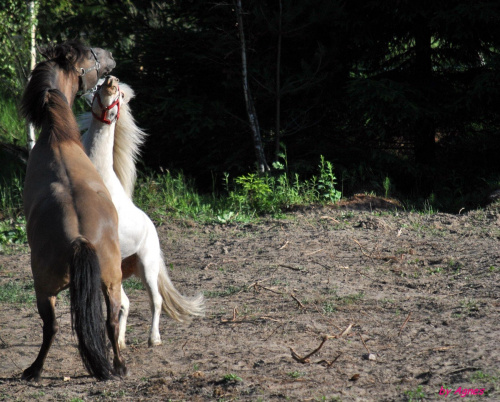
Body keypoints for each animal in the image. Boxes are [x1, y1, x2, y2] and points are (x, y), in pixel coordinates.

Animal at [20, 42, 127, 382]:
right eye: (91, 54)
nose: (111, 57)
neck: (59, 137)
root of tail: (81, 238)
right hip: (111, 282)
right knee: (111, 321)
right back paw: (119, 366)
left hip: (45, 289)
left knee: (51, 327)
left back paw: (35, 369)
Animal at [79, 76, 204, 348]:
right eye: (98, 87)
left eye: (119, 96)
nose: (111, 81)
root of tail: (151, 225)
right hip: (119, 270)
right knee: (125, 303)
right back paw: (120, 342)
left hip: (147, 265)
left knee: (155, 300)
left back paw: (153, 339)